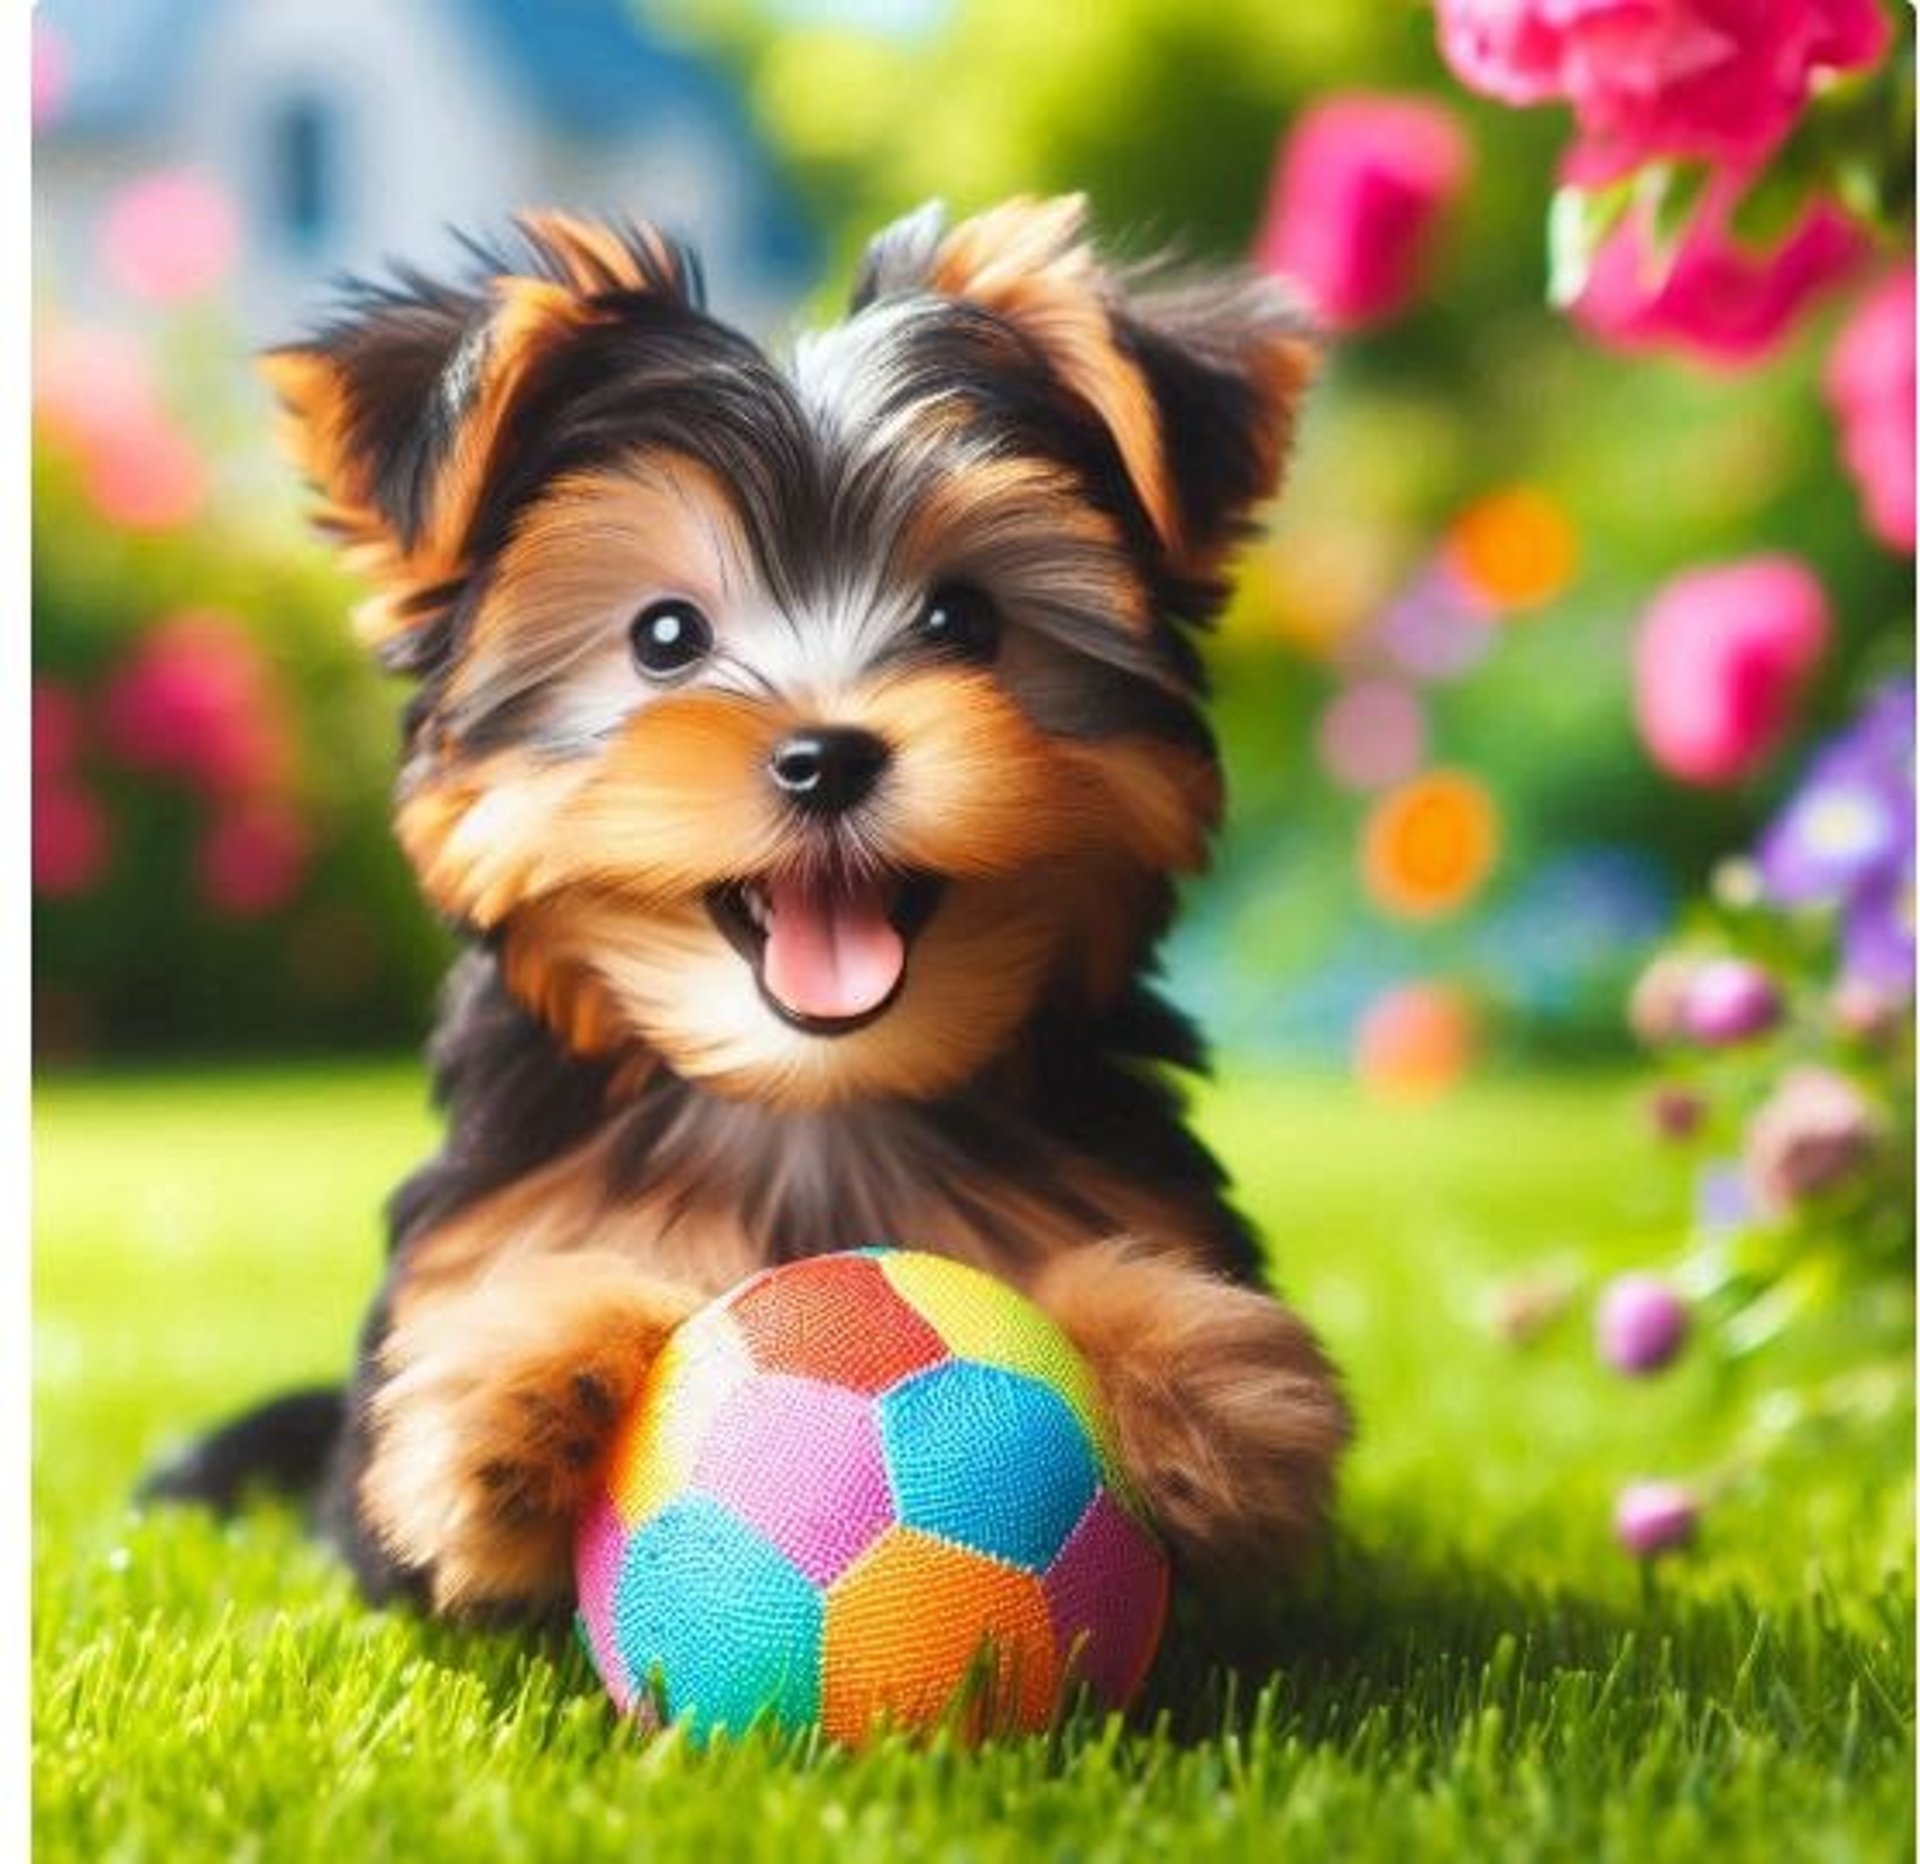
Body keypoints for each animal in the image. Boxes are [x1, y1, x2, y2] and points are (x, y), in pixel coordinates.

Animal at [149, 192, 1351, 1620]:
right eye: (665, 637)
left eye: (963, 619)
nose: (825, 756)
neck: (810, 1106)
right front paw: (516, 1393)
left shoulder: (1122, 1186)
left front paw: (1206, 1387)